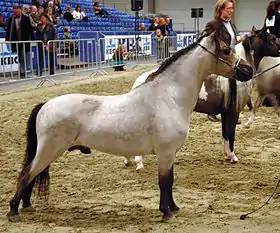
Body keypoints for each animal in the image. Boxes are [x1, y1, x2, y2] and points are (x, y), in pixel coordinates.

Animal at [6, 31, 253, 222]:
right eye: (226, 50)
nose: (248, 71)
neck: (169, 96)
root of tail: (45, 104)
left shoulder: (170, 154)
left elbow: (170, 181)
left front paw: (173, 207)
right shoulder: (165, 153)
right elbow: (164, 182)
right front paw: (166, 212)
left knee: (31, 175)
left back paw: (26, 206)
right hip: (49, 150)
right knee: (27, 174)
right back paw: (13, 210)